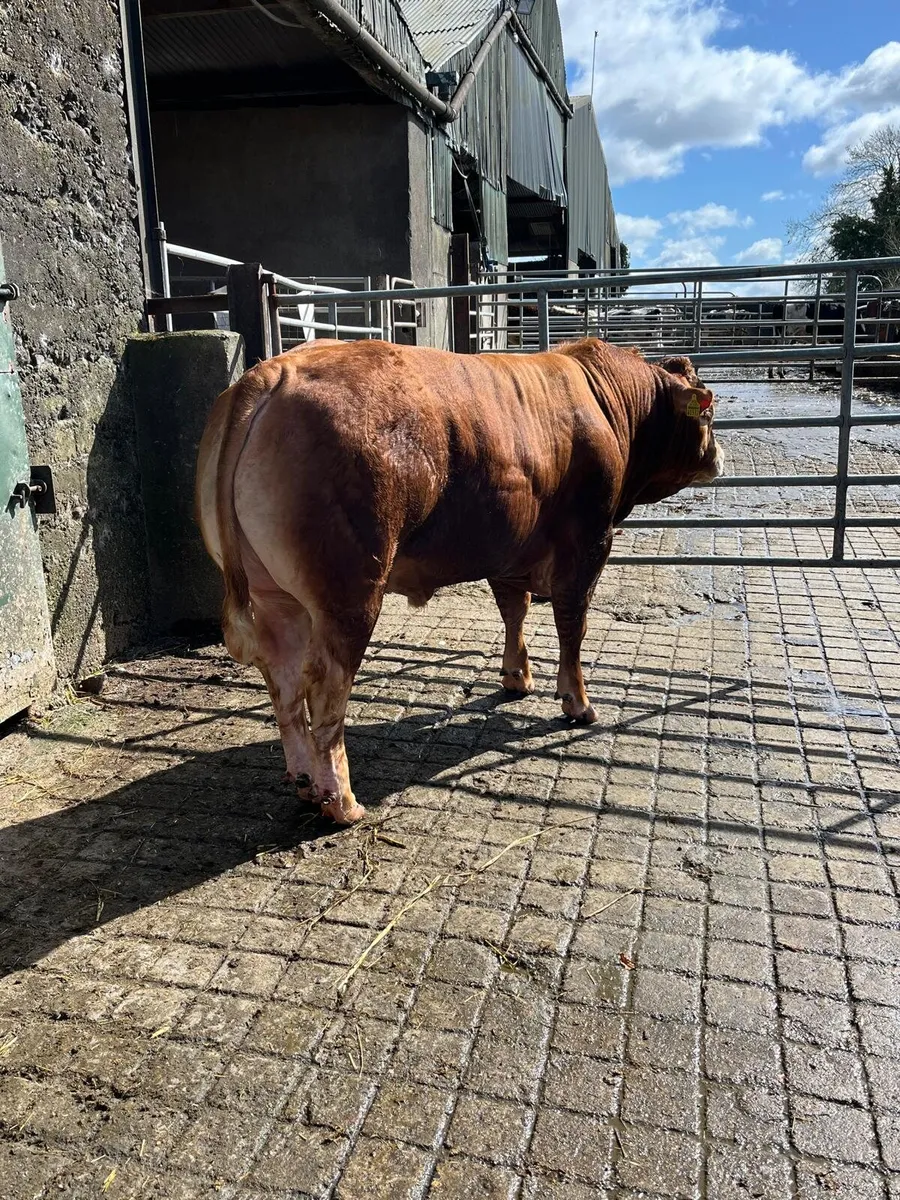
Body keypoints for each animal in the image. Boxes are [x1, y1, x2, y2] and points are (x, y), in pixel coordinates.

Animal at [196, 339, 723, 825]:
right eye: (708, 414)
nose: (718, 457)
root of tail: (270, 372)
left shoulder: (509, 550)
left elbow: (514, 610)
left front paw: (517, 676)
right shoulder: (590, 542)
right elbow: (572, 625)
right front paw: (578, 703)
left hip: (274, 595)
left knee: (284, 681)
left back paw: (306, 782)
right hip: (349, 593)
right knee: (325, 687)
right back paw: (341, 803)